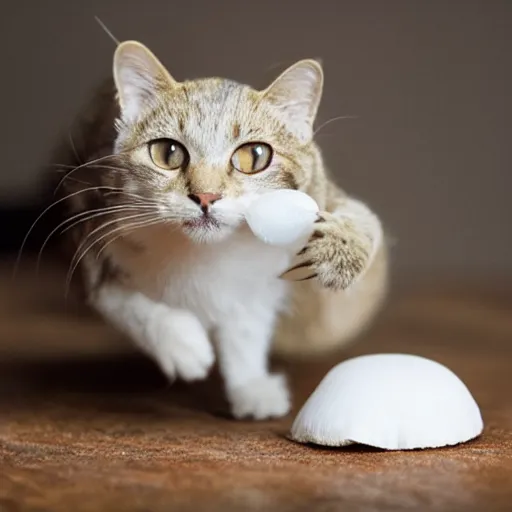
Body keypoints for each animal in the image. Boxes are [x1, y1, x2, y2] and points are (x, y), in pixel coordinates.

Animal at [48, 41, 388, 420]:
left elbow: (248, 323)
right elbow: (113, 296)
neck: (205, 254)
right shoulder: (88, 219)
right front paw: (181, 343)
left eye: (255, 155)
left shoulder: (316, 197)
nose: (206, 196)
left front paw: (250, 385)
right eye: (167, 152)